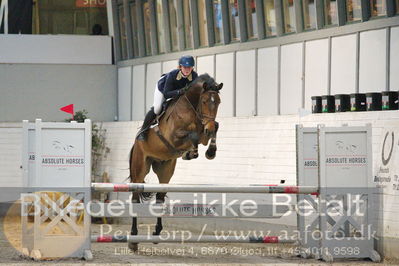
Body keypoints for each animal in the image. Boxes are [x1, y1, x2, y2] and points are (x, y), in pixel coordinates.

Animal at [129, 73, 223, 251]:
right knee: (135, 199)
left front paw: (210, 152)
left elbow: (214, 128)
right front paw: (191, 153)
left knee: (159, 198)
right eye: (204, 101)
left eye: (219, 102)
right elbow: (193, 135)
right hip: (139, 170)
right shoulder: (173, 136)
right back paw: (133, 239)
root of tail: (135, 144)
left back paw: (157, 233)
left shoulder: (204, 132)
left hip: (165, 169)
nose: (208, 127)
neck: (192, 109)